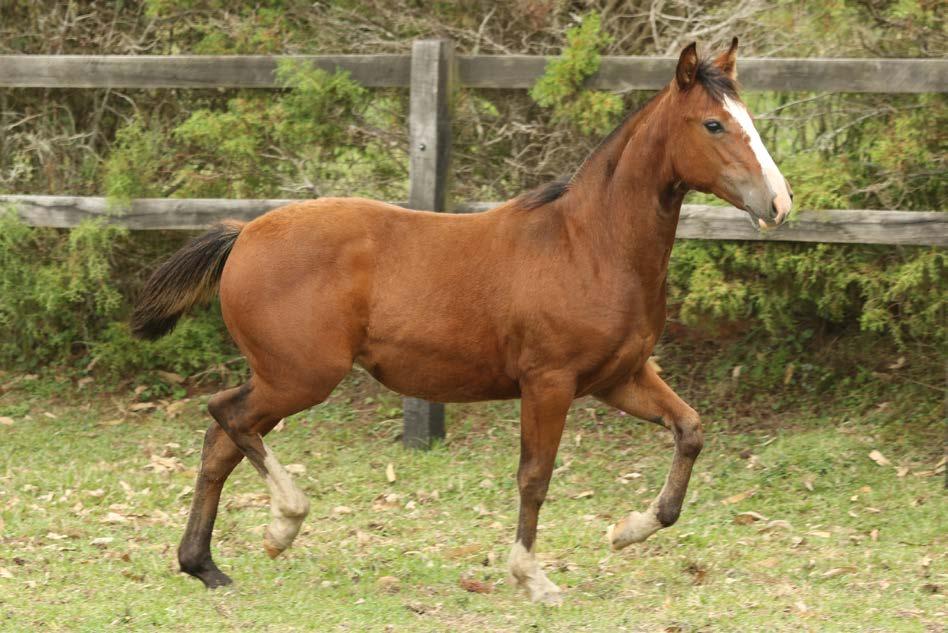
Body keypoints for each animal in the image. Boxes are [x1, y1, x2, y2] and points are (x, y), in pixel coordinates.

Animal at [128, 38, 792, 604]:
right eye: (713, 124)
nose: (779, 204)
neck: (590, 246)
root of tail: (242, 234)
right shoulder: (549, 382)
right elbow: (535, 476)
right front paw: (532, 578)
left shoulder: (619, 378)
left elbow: (690, 430)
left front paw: (627, 530)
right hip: (301, 377)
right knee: (228, 416)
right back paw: (283, 524)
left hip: (282, 376)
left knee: (220, 441)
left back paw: (205, 566)